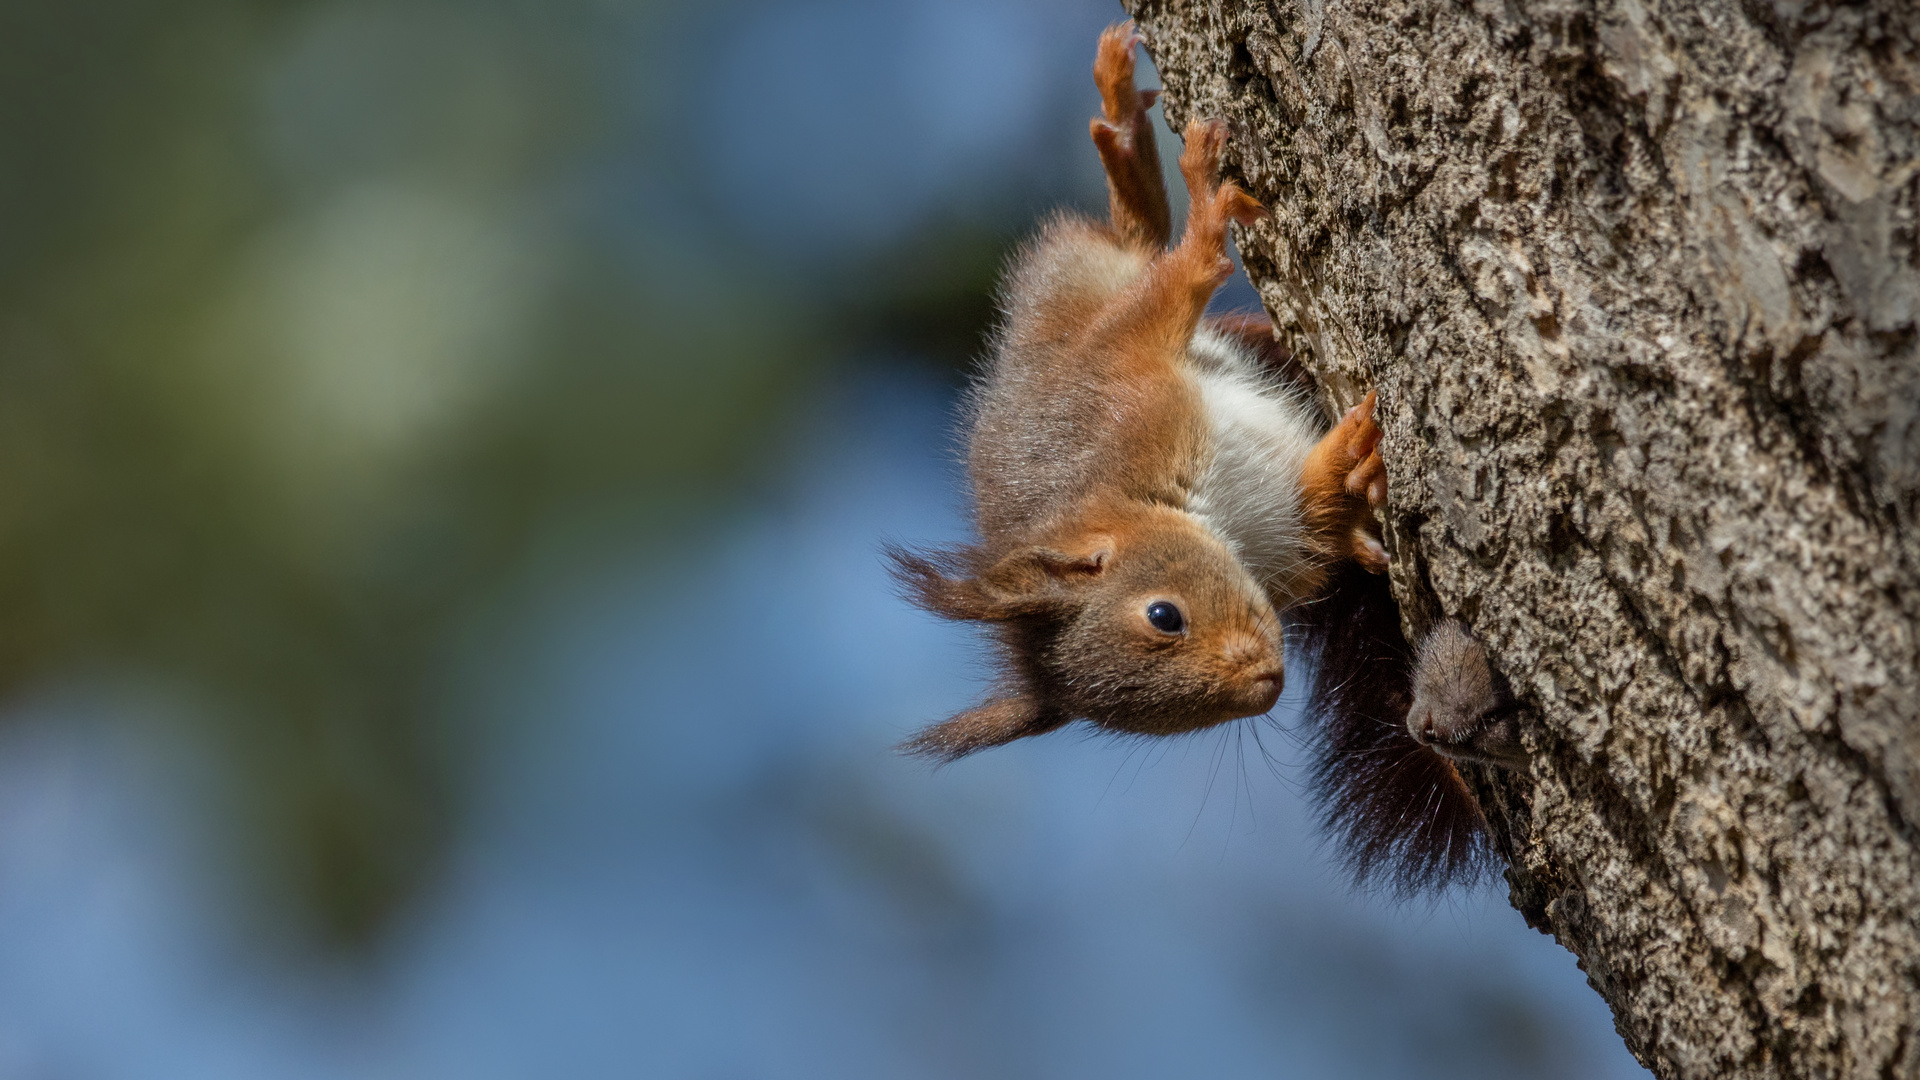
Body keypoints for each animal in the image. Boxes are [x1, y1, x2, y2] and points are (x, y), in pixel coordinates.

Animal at [890, 25, 1520, 891]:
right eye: (1166, 724)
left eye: (1164, 615)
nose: (1263, 684)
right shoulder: (1284, 554)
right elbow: (1319, 515)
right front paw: (1346, 472)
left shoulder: (1124, 389)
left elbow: (1172, 293)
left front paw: (1203, 223)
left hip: (1077, 291)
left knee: (1134, 250)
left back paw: (1130, 147)